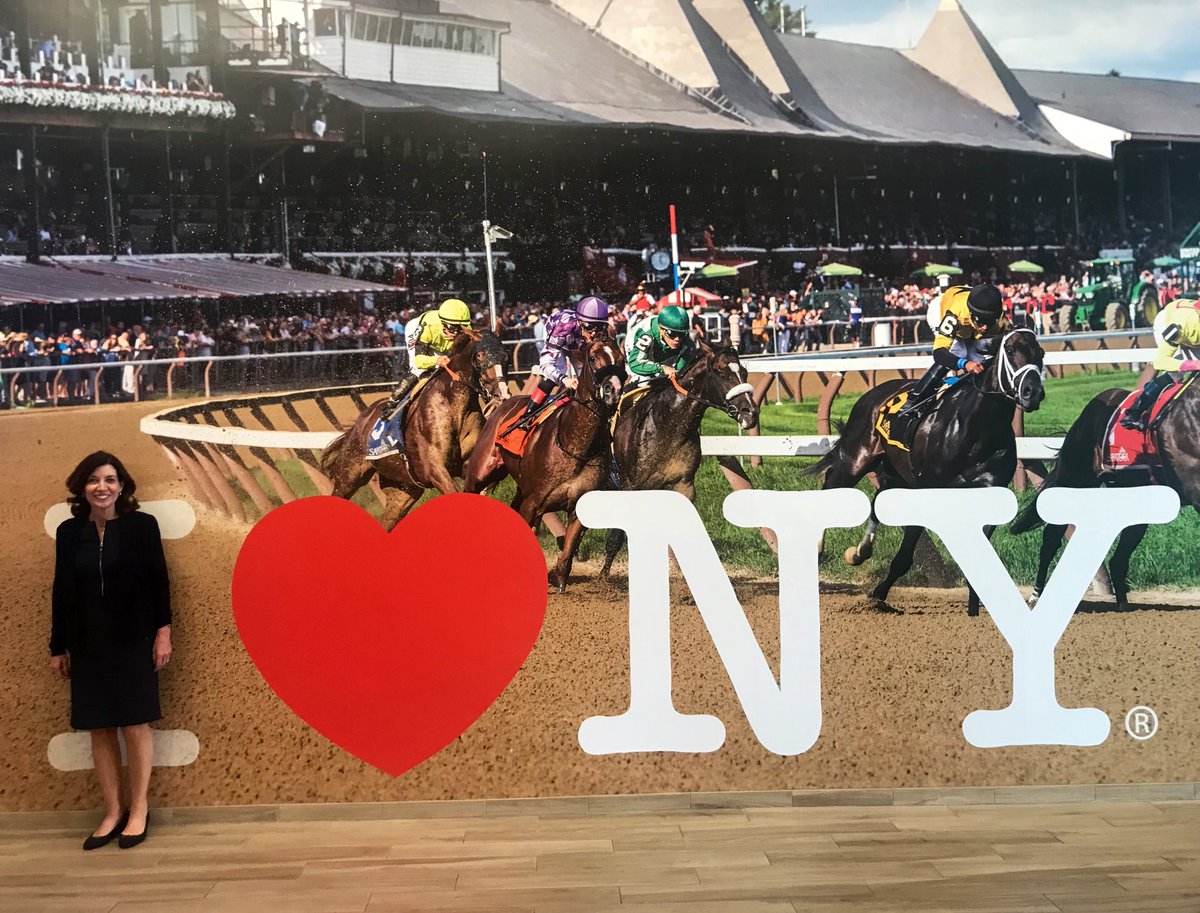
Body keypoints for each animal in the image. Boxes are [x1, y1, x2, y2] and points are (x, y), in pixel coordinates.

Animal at [320, 328, 509, 529]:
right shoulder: (436, 470)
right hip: (349, 475)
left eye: (505, 356)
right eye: (480, 356)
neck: (453, 405)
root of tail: (360, 422)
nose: (502, 395)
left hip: (404, 489)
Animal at [464, 338, 626, 592]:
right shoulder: (533, 503)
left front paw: (558, 580)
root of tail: (504, 403)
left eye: (621, 358)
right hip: (481, 472)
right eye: (592, 358)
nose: (613, 390)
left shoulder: (577, 507)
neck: (575, 445)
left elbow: (568, 550)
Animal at [599, 342, 759, 576]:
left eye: (744, 373)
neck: (667, 425)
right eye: (722, 374)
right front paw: (603, 576)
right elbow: (616, 536)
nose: (751, 413)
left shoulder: (682, 485)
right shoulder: (629, 486)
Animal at [805, 329, 1045, 615]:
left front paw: (974, 611)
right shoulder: (926, 490)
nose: (1032, 392)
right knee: (831, 486)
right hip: (856, 459)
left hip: (894, 473)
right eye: (1009, 350)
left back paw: (860, 551)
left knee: (878, 499)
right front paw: (878, 594)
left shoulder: (988, 493)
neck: (976, 429)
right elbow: (904, 556)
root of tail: (872, 394)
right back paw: (818, 547)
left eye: (1041, 353)